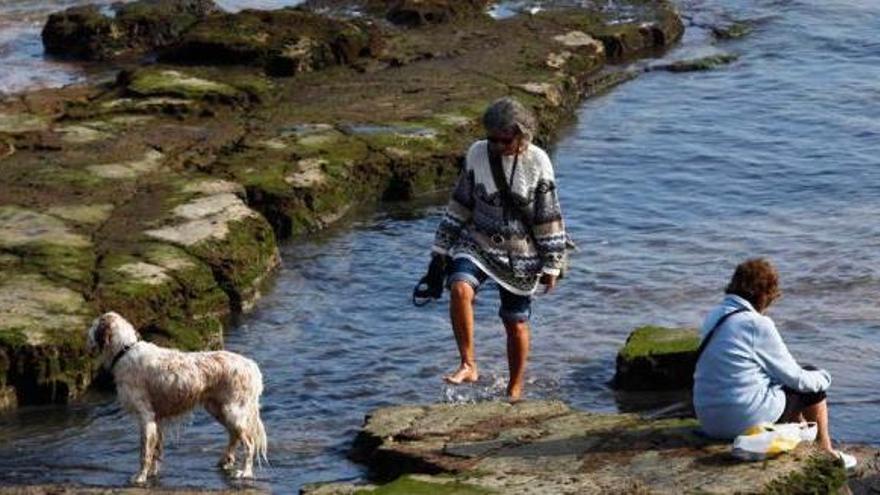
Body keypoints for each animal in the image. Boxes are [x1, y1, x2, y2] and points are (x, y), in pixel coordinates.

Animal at [89, 314, 270, 484]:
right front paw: (152, 473)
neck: (124, 351)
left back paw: (245, 472)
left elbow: (144, 453)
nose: (87, 337)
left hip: (232, 411)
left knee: (249, 443)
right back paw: (225, 460)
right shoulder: (157, 420)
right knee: (234, 436)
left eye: (92, 326)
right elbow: (155, 451)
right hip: (219, 409)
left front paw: (140, 477)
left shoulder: (146, 417)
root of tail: (251, 365)